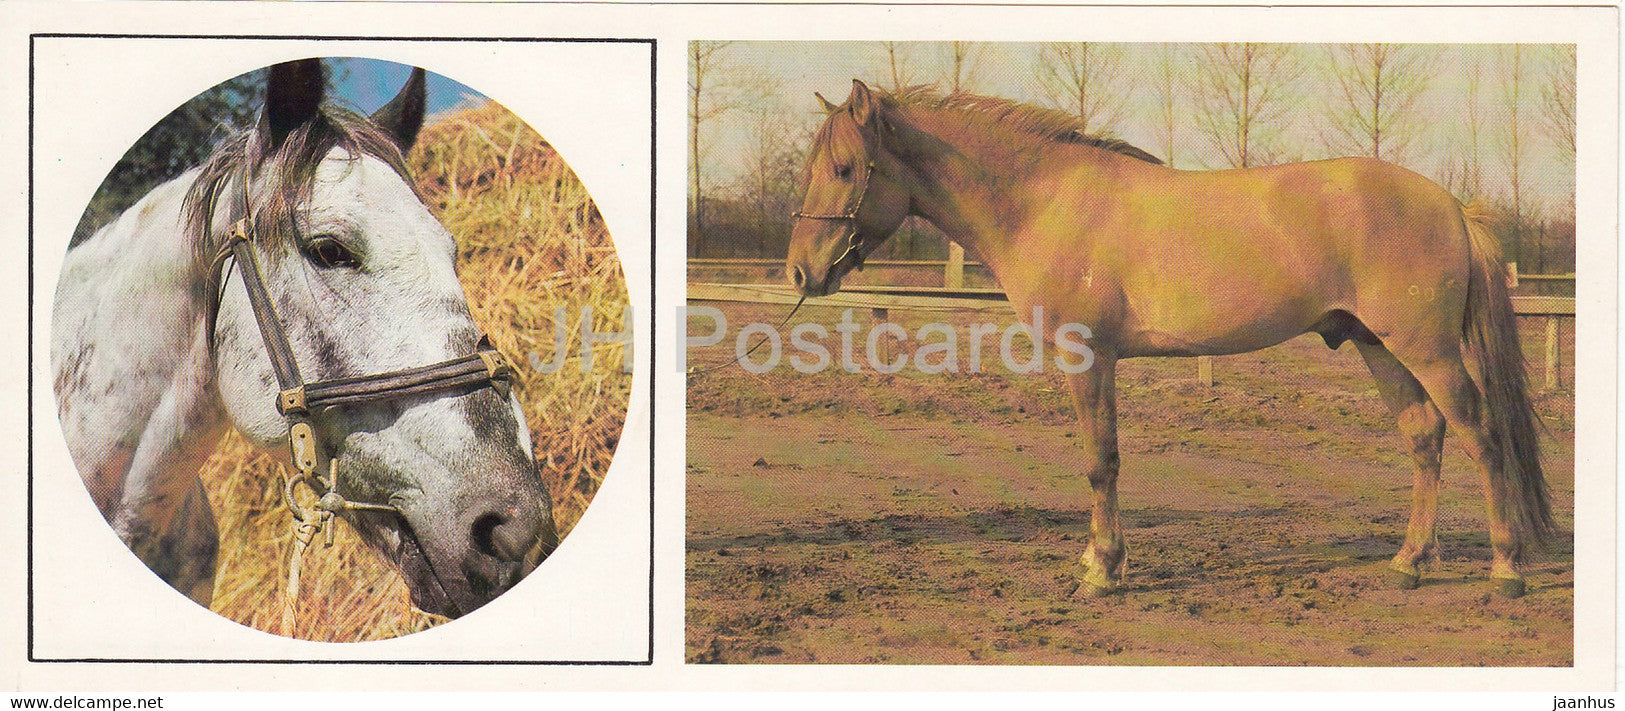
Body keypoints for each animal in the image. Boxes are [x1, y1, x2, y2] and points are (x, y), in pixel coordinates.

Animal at [785, 80, 1554, 599]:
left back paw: (1505, 568)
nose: (799, 270)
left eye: (845, 169)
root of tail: (1450, 205)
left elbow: (1100, 462)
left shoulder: (1087, 357)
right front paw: (1100, 561)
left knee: (1481, 434)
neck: (1045, 200)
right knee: (1425, 435)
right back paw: (1408, 562)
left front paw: (1102, 570)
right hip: (1378, 345)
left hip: (1426, 350)